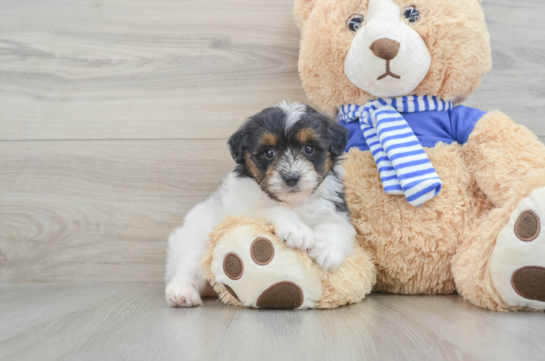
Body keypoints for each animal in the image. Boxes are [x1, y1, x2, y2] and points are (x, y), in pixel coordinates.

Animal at [164, 101, 356, 306]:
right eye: (269, 153)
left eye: (309, 149)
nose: (291, 177)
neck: (294, 201)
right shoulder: (242, 210)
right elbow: (274, 208)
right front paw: (297, 229)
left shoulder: (336, 209)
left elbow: (335, 225)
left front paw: (328, 251)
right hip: (195, 242)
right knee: (188, 268)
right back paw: (181, 293)